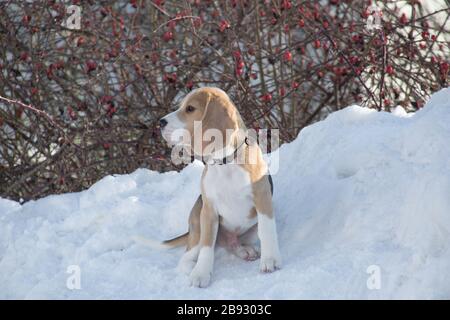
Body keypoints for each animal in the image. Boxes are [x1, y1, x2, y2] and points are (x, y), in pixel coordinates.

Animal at [156, 87, 282, 288]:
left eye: (190, 108)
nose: (160, 122)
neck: (225, 163)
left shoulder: (263, 199)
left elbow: (267, 229)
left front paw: (270, 259)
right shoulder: (209, 211)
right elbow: (207, 247)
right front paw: (200, 274)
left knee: (234, 244)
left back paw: (244, 250)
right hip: (198, 226)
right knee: (187, 257)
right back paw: (191, 268)